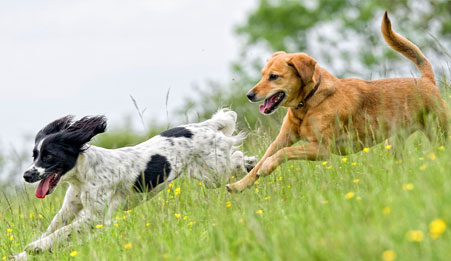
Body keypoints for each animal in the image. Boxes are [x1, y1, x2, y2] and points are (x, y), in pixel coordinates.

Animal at [14, 108, 256, 256]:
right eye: (35, 155)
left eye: (48, 156)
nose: (26, 175)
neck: (82, 175)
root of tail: (207, 125)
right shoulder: (71, 207)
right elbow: (55, 227)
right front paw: (22, 254)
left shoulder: (96, 216)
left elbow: (61, 232)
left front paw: (36, 246)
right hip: (208, 176)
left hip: (215, 173)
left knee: (235, 157)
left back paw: (250, 164)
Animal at [228, 11, 450, 191]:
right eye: (262, 75)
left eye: (274, 76)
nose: (249, 95)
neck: (308, 103)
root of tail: (427, 80)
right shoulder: (282, 138)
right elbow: (261, 160)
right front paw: (239, 185)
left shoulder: (322, 149)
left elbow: (283, 153)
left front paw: (267, 167)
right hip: (394, 142)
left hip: (440, 132)